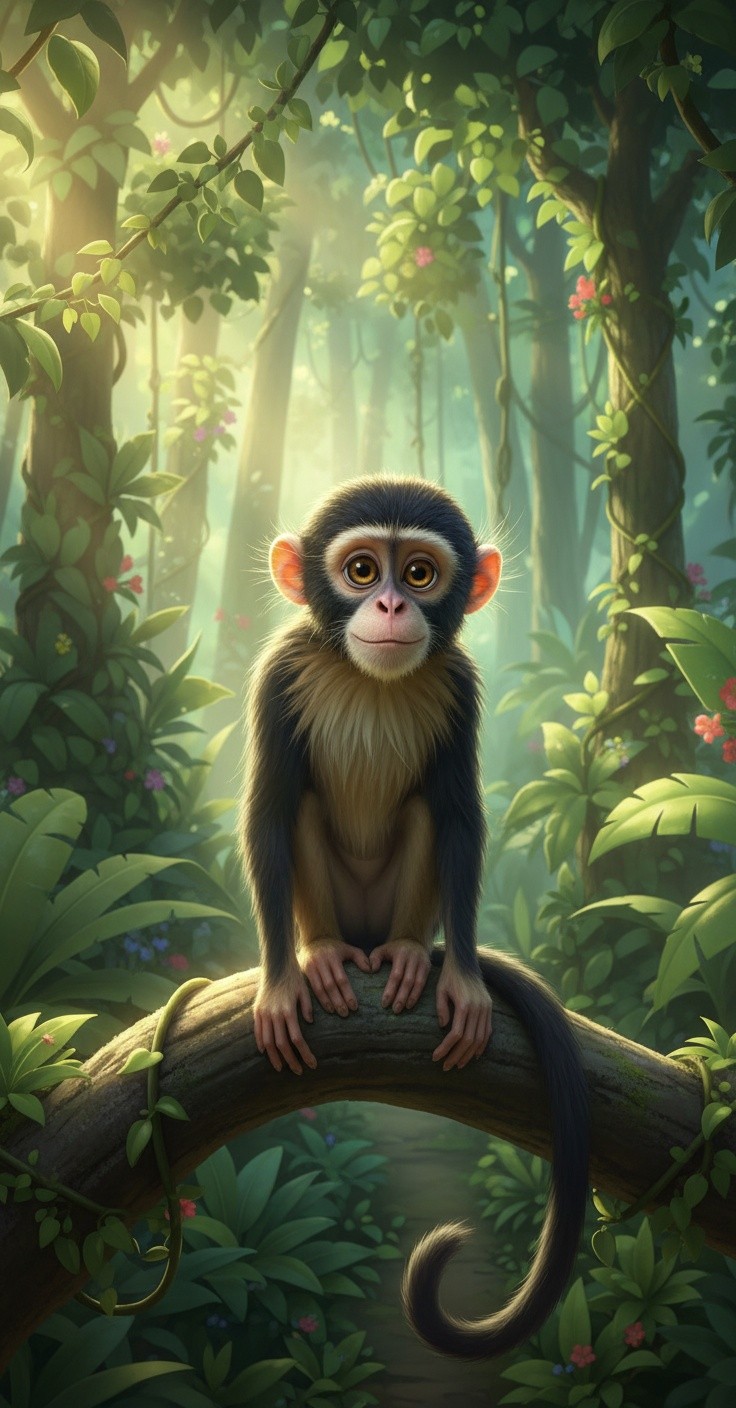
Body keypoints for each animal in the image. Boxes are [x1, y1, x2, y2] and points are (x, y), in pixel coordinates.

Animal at [240, 475, 590, 1359]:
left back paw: (403, 952)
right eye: (363, 569)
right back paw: (325, 954)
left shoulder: (461, 684)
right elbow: (269, 813)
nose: (394, 603)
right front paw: (279, 985)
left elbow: (459, 815)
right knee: (300, 811)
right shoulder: (278, 671)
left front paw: (463, 981)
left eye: (421, 574)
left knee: (429, 817)